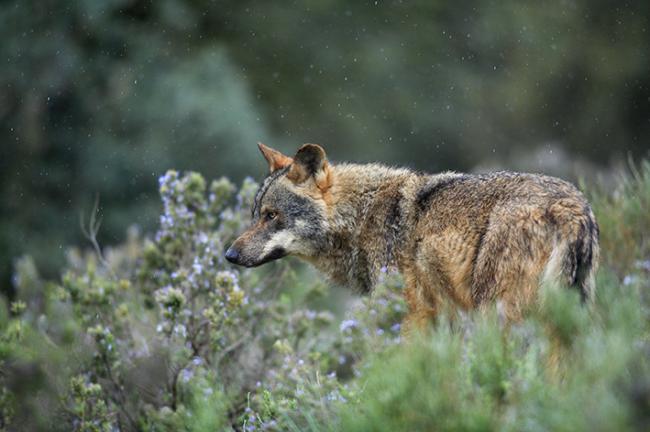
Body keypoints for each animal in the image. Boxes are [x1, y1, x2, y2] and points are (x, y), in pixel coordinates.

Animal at [224, 144, 596, 330]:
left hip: (497, 314)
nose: (229, 255)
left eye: (272, 216)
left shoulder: (411, 314)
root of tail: (572, 205)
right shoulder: (441, 317)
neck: (360, 217)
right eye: (255, 214)